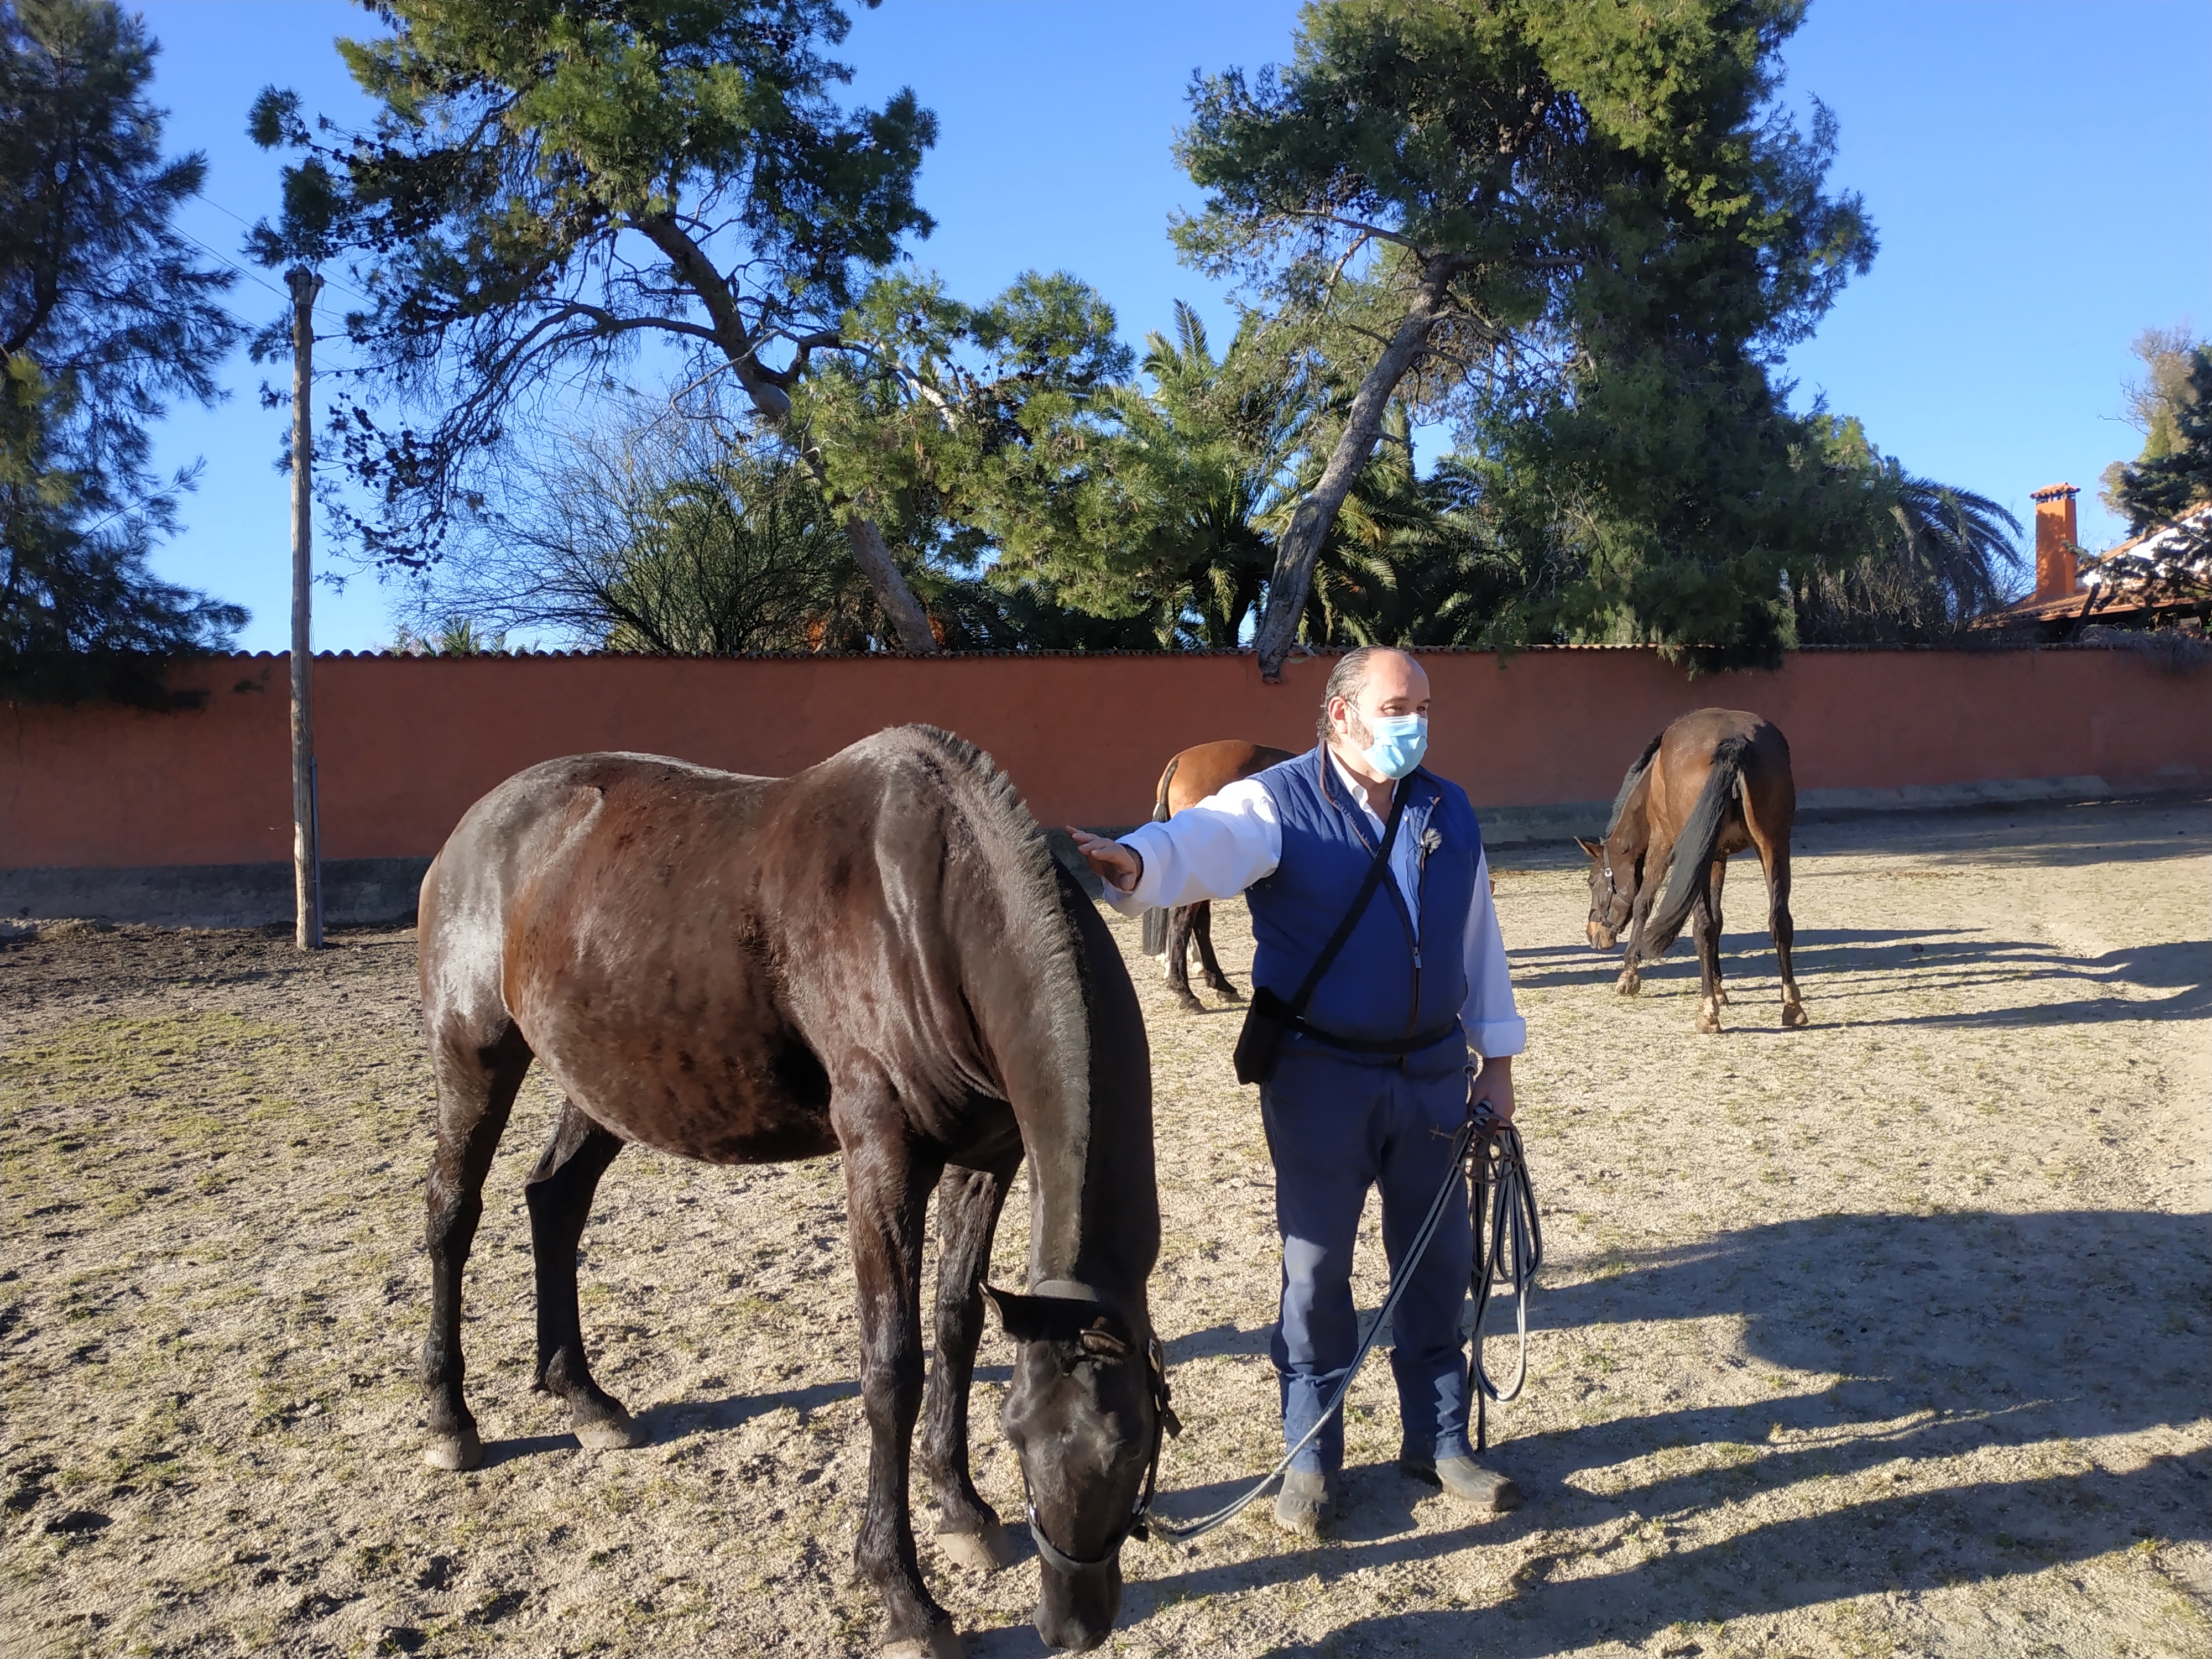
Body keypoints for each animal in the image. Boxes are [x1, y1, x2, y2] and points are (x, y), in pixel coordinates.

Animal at [420, 730, 1168, 1659]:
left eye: (1132, 1447)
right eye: (1022, 1436)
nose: (1073, 1624)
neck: (934, 906)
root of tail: (477, 824)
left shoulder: (988, 1158)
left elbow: (957, 1325)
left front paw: (960, 1509)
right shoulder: (881, 1153)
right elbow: (892, 1367)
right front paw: (903, 1595)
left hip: (600, 1084)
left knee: (555, 1203)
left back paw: (583, 1396)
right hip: (474, 1056)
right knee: (453, 1217)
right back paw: (450, 1419)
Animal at [1566, 708, 1805, 1035]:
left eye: (1592, 883)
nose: (1593, 934)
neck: (1651, 781)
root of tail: (1735, 742)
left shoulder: (1662, 842)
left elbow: (1644, 903)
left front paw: (1629, 975)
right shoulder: (1716, 857)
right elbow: (1718, 919)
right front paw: (1718, 987)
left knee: (1701, 926)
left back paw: (1708, 1012)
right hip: (1773, 847)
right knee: (1779, 921)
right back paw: (1792, 1006)